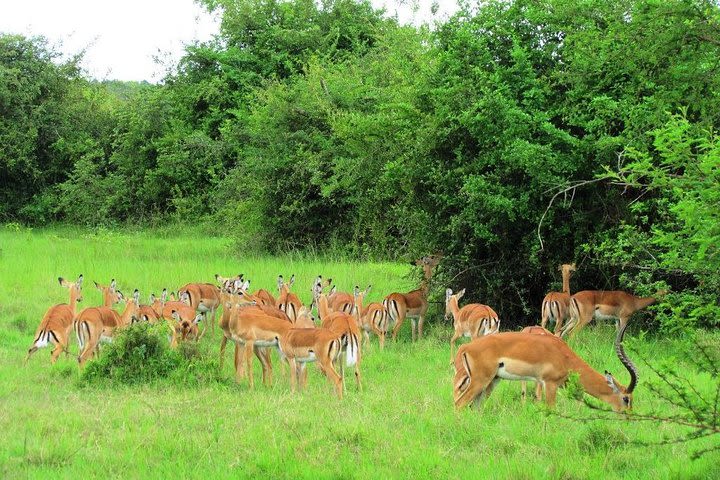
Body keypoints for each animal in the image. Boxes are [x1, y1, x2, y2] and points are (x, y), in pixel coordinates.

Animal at [456, 324, 636, 410]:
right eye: (626, 398)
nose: (629, 416)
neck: (564, 356)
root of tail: (466, 347)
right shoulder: (550, 384)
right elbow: (551, 409)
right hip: (479, 381)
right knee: (459, 403)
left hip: (493, 380)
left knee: (475, 407)